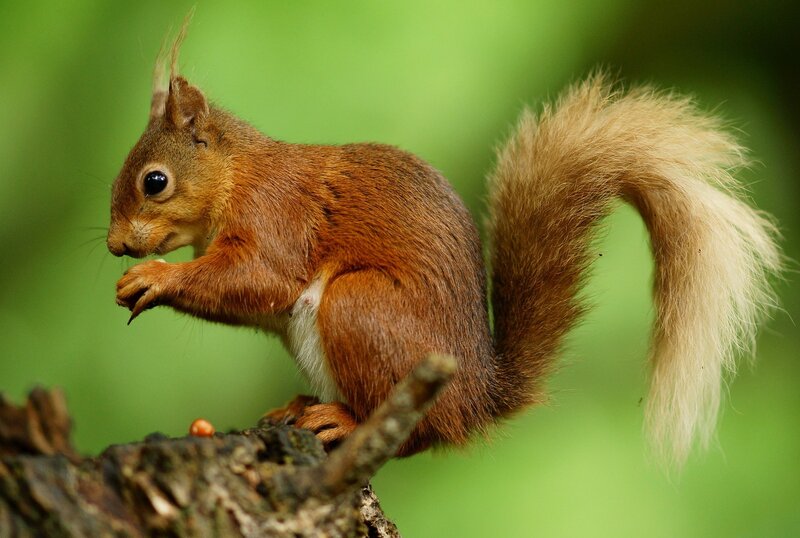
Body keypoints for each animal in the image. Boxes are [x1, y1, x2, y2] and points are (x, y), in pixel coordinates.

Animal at [108, 23, 781, 466]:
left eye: (154, 182)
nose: (114, 245)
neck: (237, 175)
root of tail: (476, 399)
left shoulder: (277, 217)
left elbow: (259, 277)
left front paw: (156, 278)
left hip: (359, 306)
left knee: (412, 435)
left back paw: (339, 417)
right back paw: (301, 405)